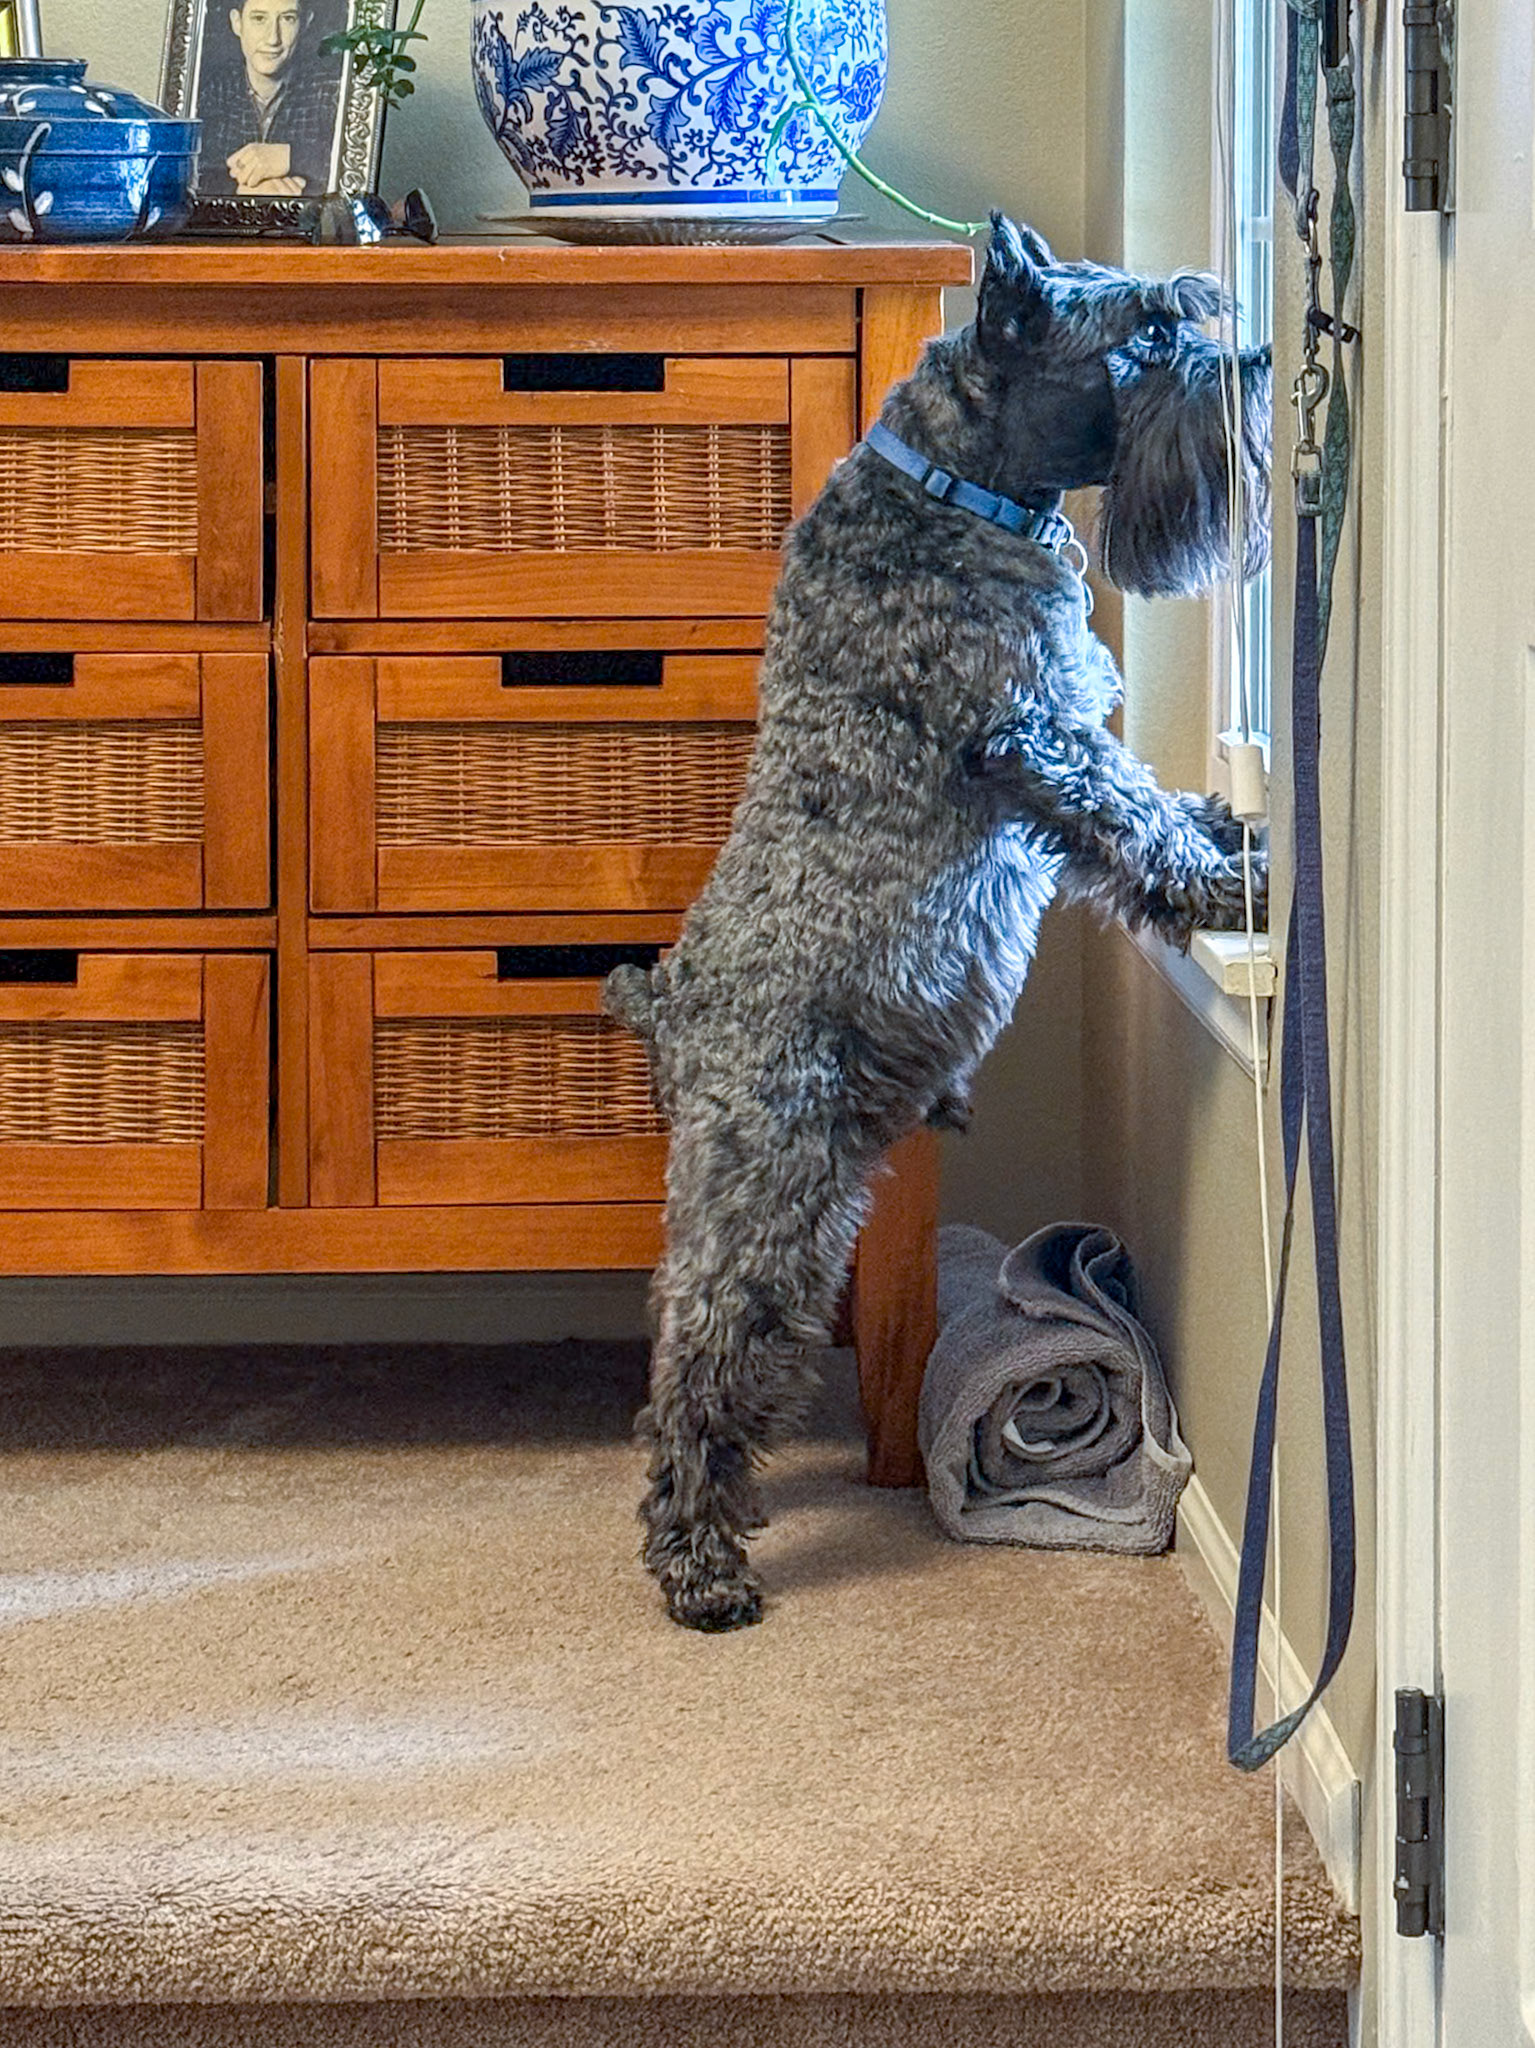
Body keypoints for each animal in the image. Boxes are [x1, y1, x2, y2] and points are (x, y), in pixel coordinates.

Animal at [604, 212, 1272, 1632]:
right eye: (1144, 326)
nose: (1247, 366)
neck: (956, 487)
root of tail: (672, 1013)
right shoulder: (1037, 732)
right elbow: (1130, 818)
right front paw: (1217, 878)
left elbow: (1154, 799)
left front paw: (1235, 827)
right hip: (770, 1202)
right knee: (697, 1371)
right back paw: (701, 1563)